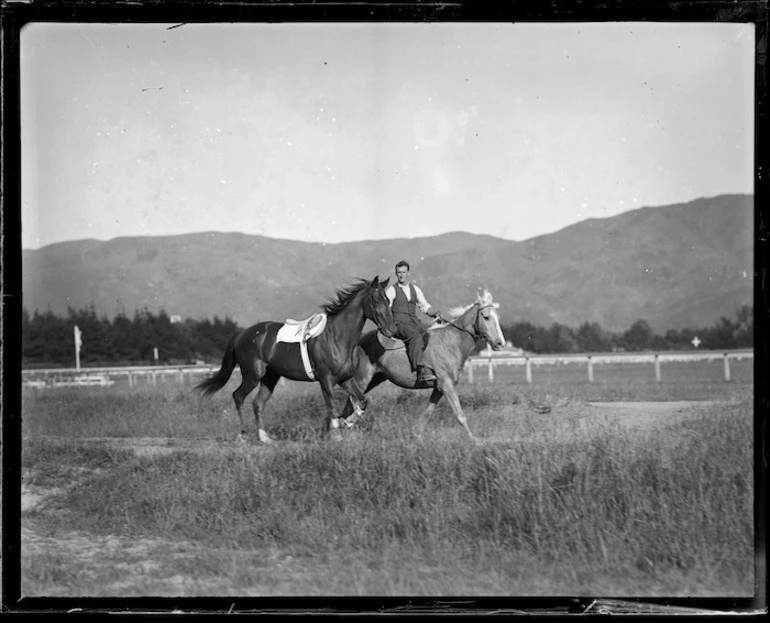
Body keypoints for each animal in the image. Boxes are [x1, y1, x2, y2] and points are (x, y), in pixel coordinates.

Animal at [195, 278, 392, 444]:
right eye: (376, 301)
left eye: (388, 301)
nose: (391, 329)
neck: (336, 337)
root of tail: (242, 333)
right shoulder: (326, 380)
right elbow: (333, 406)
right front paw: (336, 434)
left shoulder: (345, 379)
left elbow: (362, 401)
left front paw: (348, 422)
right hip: (252, 375)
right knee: (238, 396)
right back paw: (243, 435)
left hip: (270, 378)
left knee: (257, 403)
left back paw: (264, 438)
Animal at [340, 290, 504, 442]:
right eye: (486, 317)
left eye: (497, 317)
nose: (500, 343)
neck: (451, 343)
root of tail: (358, 341)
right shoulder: (447, 386)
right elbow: (460, 415)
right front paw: (475, 440)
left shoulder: (439, 389)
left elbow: (427, 413)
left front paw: (417, 435)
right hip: (362, 379)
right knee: (353, 402)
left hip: (374, 380)